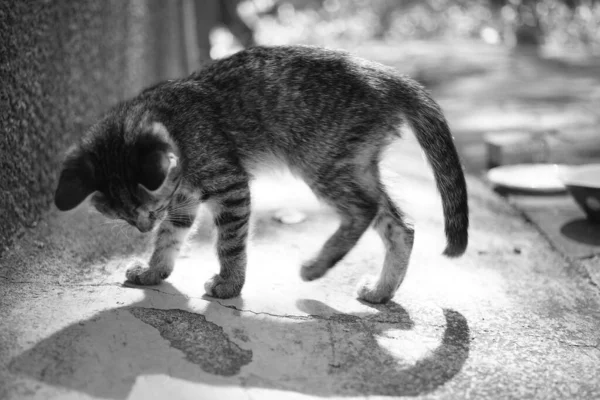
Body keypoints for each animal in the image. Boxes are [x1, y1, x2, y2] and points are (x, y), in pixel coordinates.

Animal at [54, 44, 468, 304]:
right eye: (125, 216)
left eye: (145, 211)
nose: (142, 227)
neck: (172, 120)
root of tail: (384, 75)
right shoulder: (183, 199)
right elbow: (170, 237)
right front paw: (155, 271)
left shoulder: (229, 185)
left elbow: (230, 243)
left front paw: (229, 284)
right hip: (354, 164)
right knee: (401, 226)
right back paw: (382, 290)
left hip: (322, 161)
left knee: (364, 210)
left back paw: (316, 267)